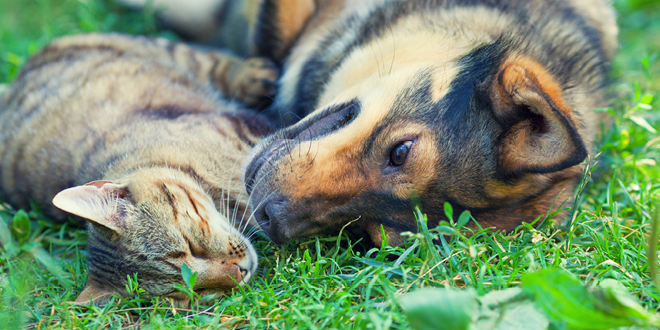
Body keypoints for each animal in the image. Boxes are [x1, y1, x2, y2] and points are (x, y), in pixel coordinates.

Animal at [0, 32, 278, 306]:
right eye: (192, 293)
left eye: (190, 247)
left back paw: (255, 75)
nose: (240, 273)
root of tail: (12, 89)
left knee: (210, 61)